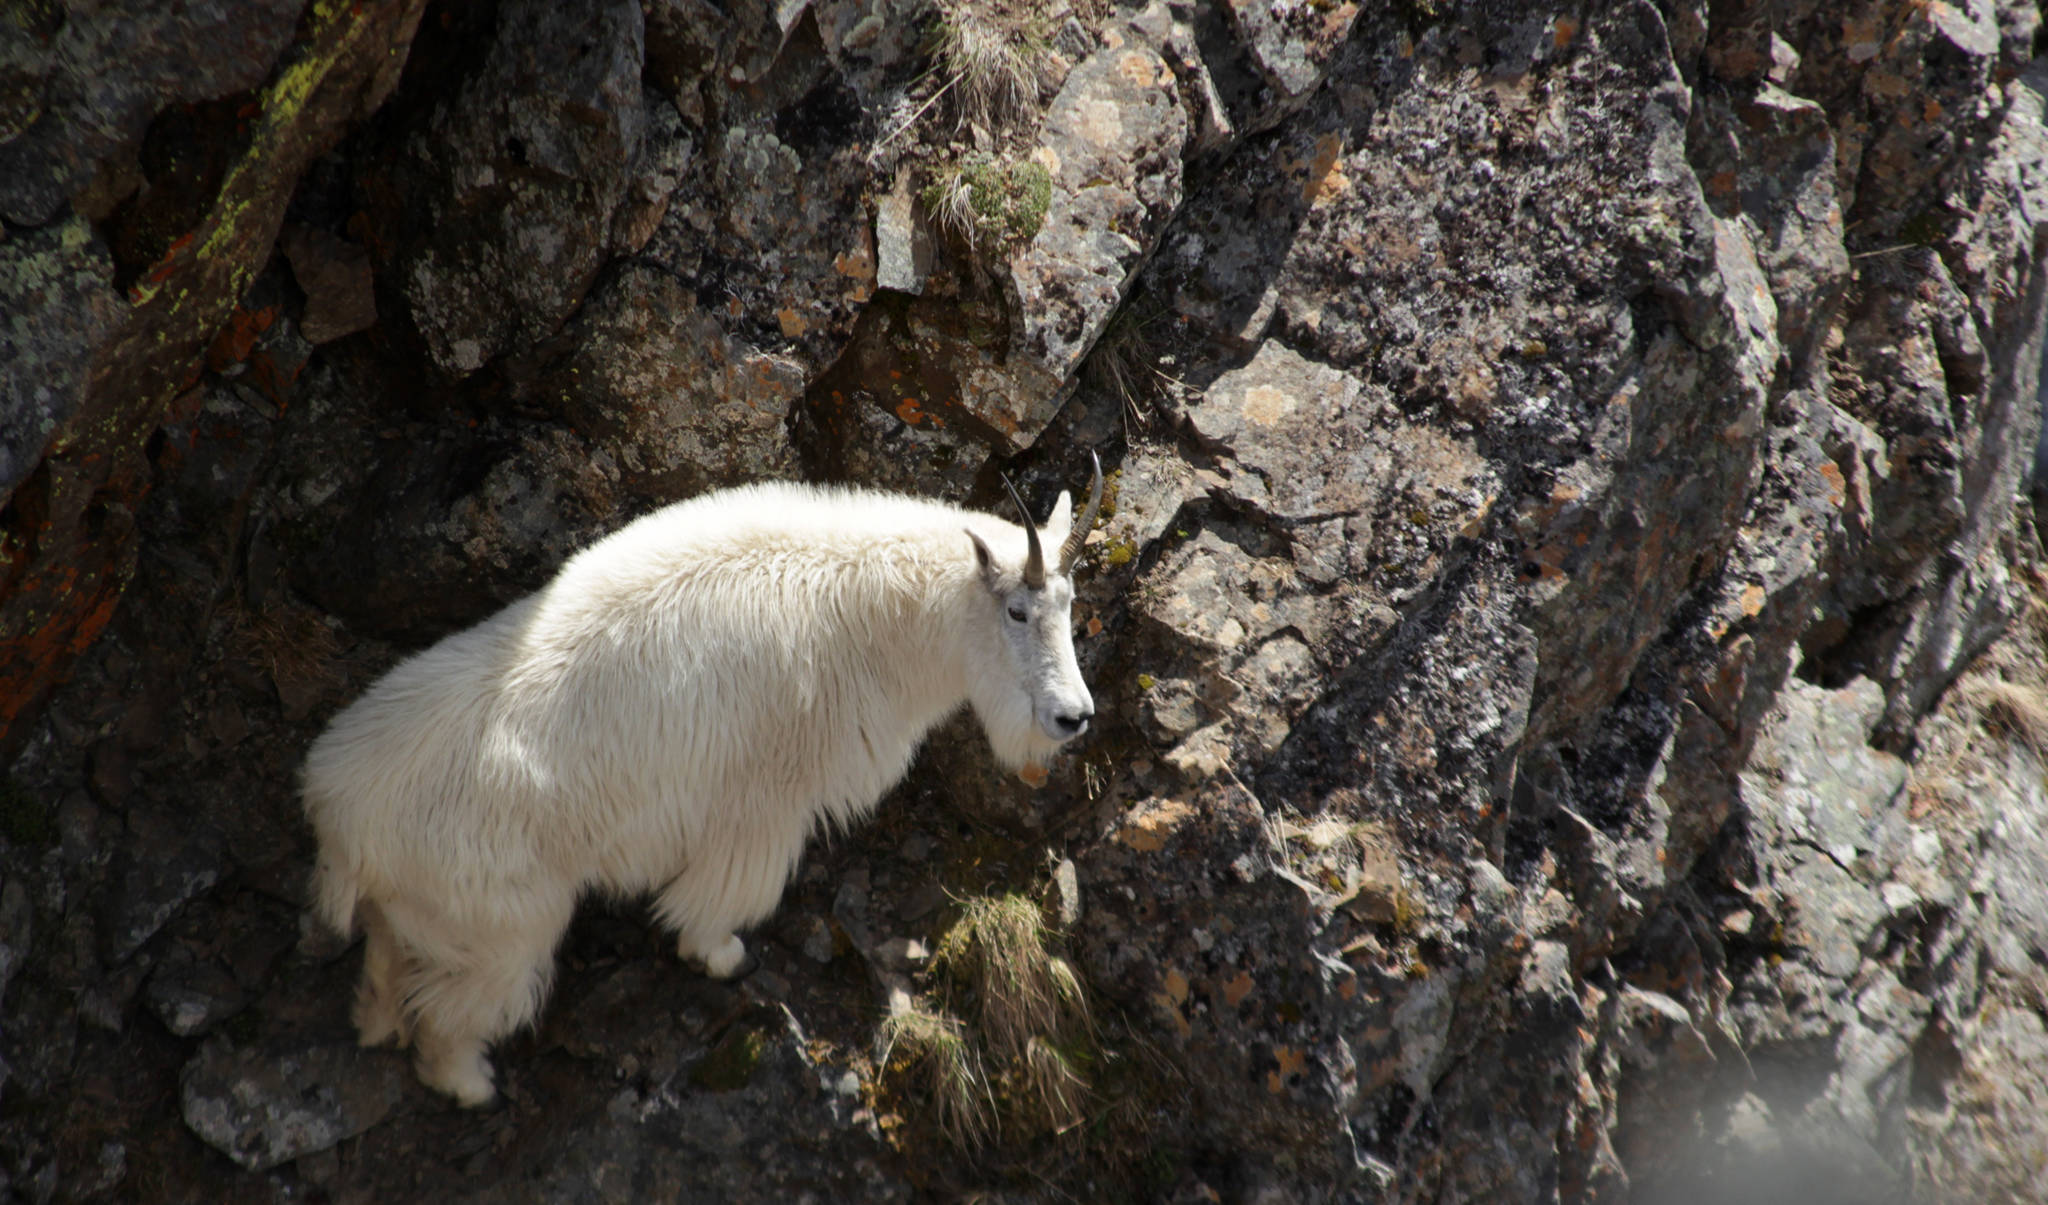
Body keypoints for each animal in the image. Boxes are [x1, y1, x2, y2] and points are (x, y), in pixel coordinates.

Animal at [303, 456, 1105, 1106]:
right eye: (1017, 609)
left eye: (1069, 606)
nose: (1072, 717)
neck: (878, 614)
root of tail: (339, 819)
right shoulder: (762, 805)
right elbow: (727, 893)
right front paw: (720, 955)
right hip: (500, 926)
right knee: (448, 1018)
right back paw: (472, 1085)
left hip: (417, 917)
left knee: (387, 977)